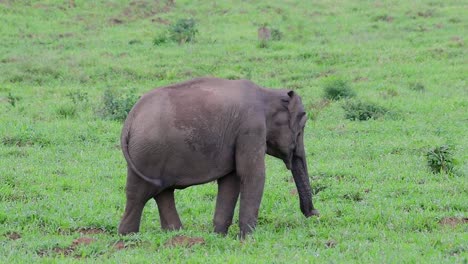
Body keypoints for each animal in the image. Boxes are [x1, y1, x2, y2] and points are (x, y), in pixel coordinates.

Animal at [119, 76, 320, 237]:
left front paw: (219, 235)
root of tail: (130, 119)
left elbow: (231, 180)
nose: (315, 214)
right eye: (301, 128)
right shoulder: (251, 128)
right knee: (140, 194)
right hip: (148, 153)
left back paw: (174, 233)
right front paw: (247, 238)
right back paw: (129, 237)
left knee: (161, 192)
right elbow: (252, 175)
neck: (268, 93)